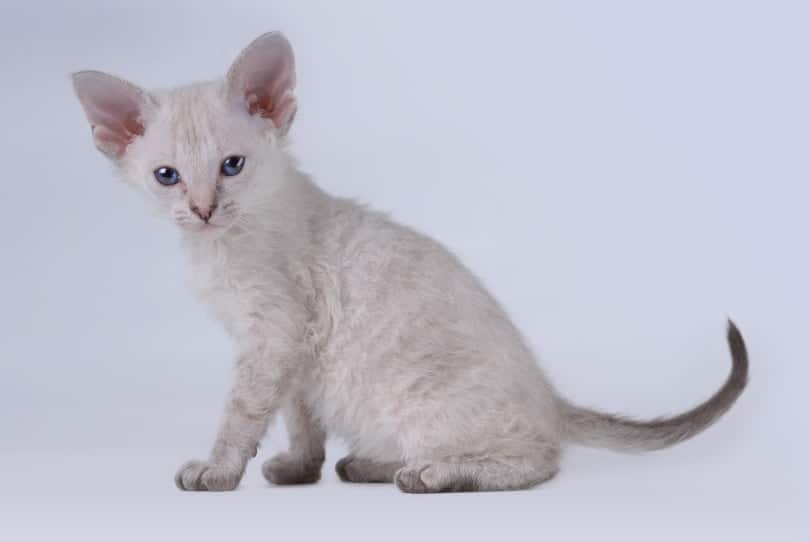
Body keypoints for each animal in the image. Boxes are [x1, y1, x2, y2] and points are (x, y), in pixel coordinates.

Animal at [72, 31, 748, 496]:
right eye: (167, 177)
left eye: (232, 166)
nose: (204, 208)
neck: (219, 248)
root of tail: (549, 396)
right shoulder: (294, 357)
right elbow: (301, 422)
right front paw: (299, 470)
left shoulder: (273, 335)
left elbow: (241, 415)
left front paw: (216, 470)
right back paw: (367, 463)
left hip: (427, 407)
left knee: (536, 463)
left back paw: (431, 474)